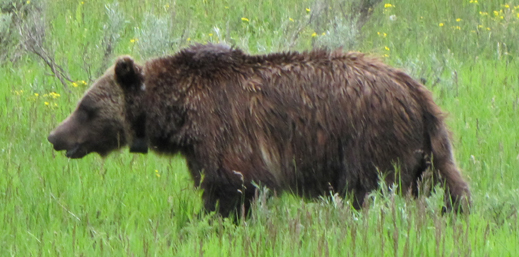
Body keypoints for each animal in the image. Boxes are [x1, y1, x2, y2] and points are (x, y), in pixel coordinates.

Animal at [47, 43, 472, 215]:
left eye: (85, 108)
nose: (55, 136)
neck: (178, 110)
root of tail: (416, 90)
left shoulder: (226, 132)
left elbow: (233, 188)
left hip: (372, 139)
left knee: (376, 190)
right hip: (426, 148)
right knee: (448, 185)